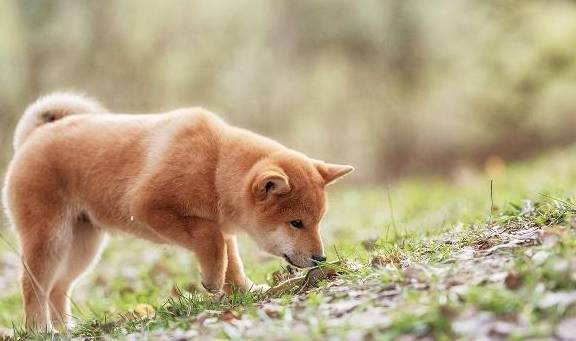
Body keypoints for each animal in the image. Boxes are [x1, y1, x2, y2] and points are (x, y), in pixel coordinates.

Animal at [1, 91, 356, 328]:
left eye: (317, 222)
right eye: (296, 223)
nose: (321, 258)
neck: (215, 166)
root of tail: (33, 136)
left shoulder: (222, 224)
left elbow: (230, 258)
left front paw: (243, 290)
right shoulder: (148, 206)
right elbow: (211, 238)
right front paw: (214, 281)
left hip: (83, 245)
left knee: (58, 288)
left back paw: (65, 328)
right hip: (51, 238)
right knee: (32, 285)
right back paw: (40, 329)